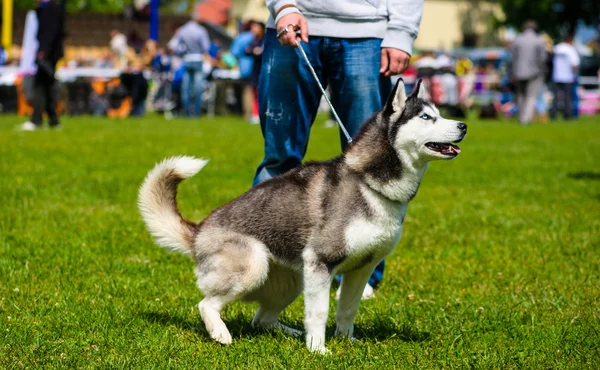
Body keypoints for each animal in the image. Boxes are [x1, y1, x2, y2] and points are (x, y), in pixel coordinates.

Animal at [138, 79, 466, 354]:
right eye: (426, 117)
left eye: (439, 113)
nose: (463, 125)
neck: (368, 182)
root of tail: (199, 230)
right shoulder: (322, 261)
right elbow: (319, 312)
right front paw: (318, 349)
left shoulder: (361, 268)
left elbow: (347, 309)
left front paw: (346, 341)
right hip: (254, 266)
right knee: (206, 304)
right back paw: (221, 333)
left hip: (293, 281)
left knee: (262, 320)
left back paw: (291, 333)